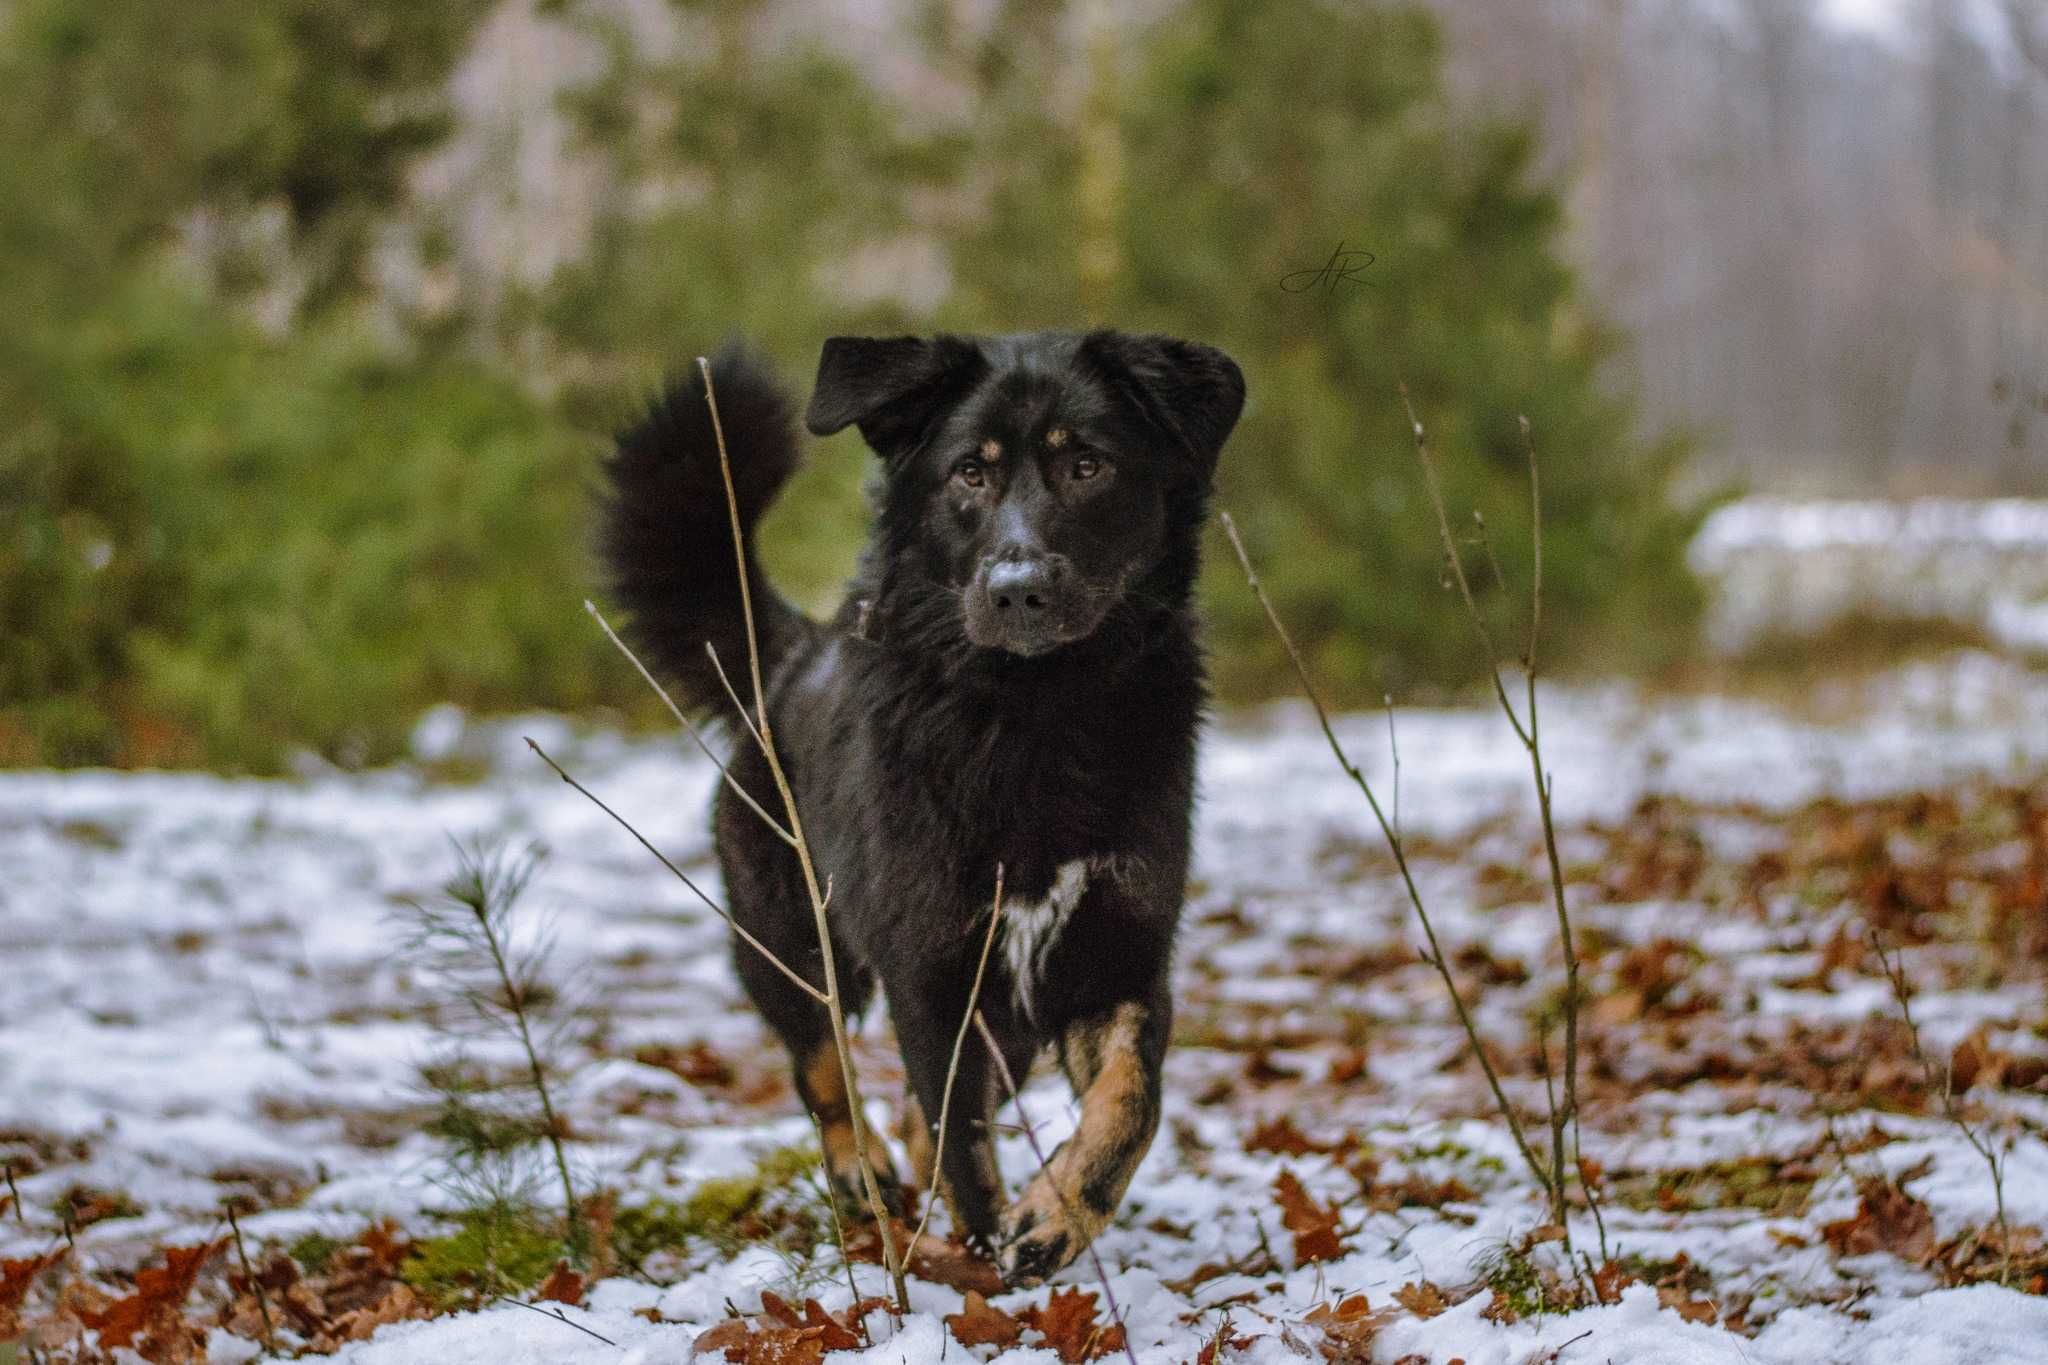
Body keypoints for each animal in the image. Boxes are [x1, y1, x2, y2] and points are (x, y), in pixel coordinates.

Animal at [598, 333, 1236, 1293]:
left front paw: (1054, 1217)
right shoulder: (930, 970)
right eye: (969, 472)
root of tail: (789, 658)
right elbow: (958, 1138)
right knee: (822, 1067)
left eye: (1087, 464)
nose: (1016, 588)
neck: (1034, 712)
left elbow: (1132, 1102)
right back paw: (860, 1173)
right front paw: (984, 1258)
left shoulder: (1118, 951)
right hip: (788, 943)